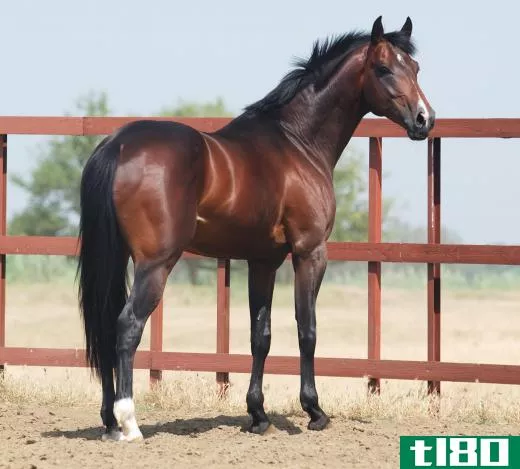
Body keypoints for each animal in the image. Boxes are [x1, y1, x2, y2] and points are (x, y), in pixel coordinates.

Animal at [77, 14, 434, 438]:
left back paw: (108, 420)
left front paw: (258, 414)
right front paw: (314, 411)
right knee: (128, 325)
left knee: (105, 325)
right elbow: (307, 329)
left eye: (415, 68)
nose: (424, 119)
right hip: (155, 264)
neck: (297, 142)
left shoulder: (263, 261)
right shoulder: (310, 253)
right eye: (383, 69)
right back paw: (128, 421)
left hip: (118, 258)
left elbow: (259, 335)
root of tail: (117, 145)